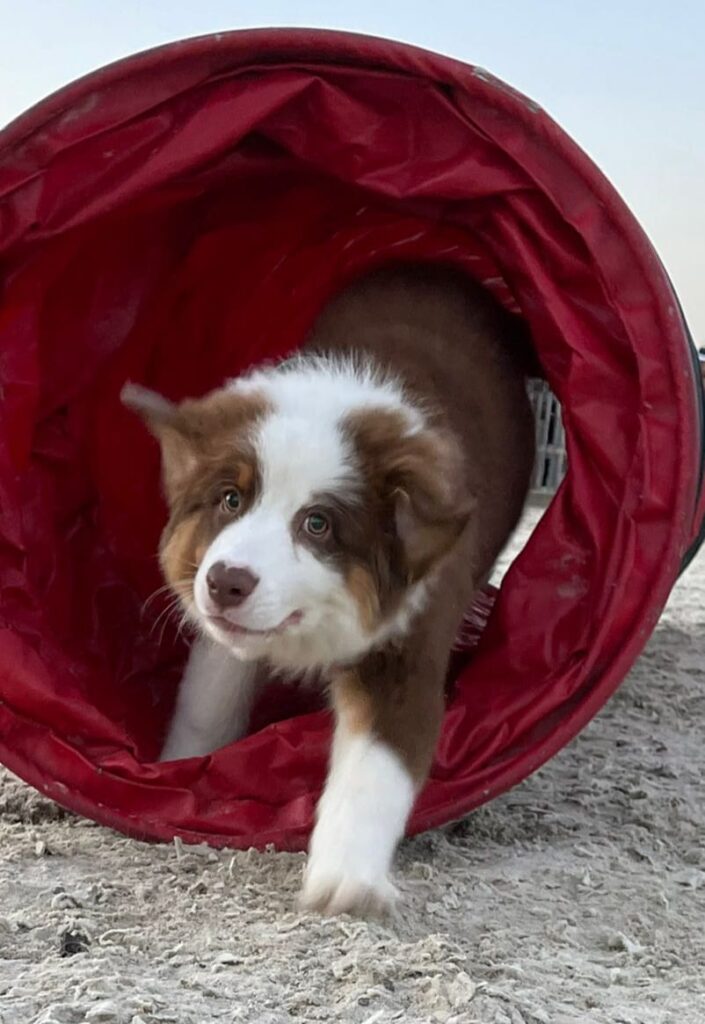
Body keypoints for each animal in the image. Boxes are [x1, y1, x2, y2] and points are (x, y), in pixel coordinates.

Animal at [122, 260, 532, 917]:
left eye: (317, 525)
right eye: (230, 499)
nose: (225, 582)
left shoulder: (407, 643)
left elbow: (376, 766)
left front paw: (347, 882)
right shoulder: (230, 633)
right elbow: (208, 699)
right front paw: (176, 772)